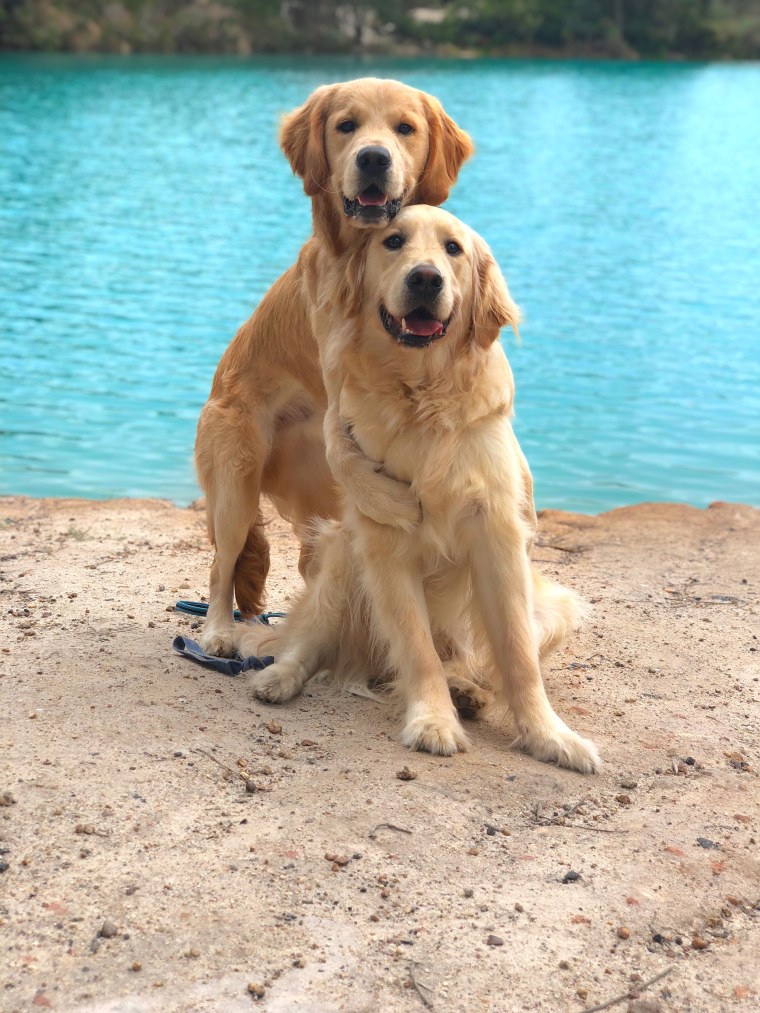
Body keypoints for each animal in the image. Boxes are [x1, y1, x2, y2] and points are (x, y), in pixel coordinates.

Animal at [193, 76, 474, 656]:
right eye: (346, 126)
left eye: (405, 128)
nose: (373, 157)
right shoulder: (339, 393)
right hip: (235, 480)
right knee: (222, 564)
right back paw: (220, 632)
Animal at [235, 207, 603, 773]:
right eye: (393, 241)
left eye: (453, 249)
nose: (426, 278)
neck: (422, 395)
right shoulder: (385, 543)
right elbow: (416, 647)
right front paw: (432, 722)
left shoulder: (498, 538)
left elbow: (517, 655)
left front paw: (549, 735)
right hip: (342, 558)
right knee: (309, 640)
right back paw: (279, 677)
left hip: (556, 607)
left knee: (469, 659)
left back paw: (466, 691)